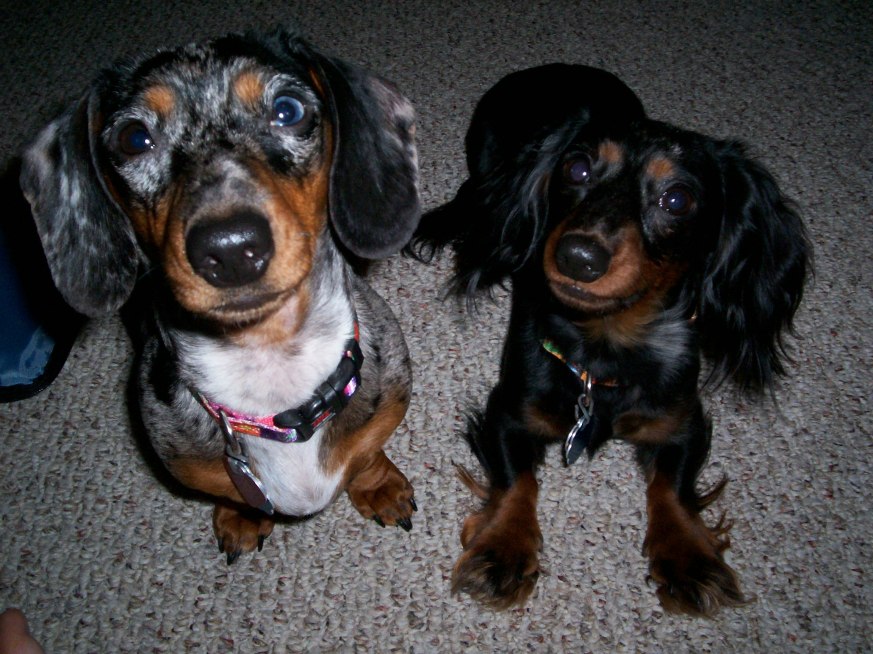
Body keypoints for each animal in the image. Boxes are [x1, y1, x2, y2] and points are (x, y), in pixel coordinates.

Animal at [20, 28, 421, 563]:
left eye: (288, 109)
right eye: (134, 138)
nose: (230, 248)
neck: (270, 364)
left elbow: (367, 452)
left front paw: (379, 485)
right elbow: (229, 491)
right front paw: (241, 516)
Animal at [411, 63, 810, 615]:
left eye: (678, 200)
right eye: (577, 169)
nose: (579, 256)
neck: (604, 346)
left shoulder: (682, 422)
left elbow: (673, 487)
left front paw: (689, 558)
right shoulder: (509, 413)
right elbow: (517, 480)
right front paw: (503, 550)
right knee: (473, 193)